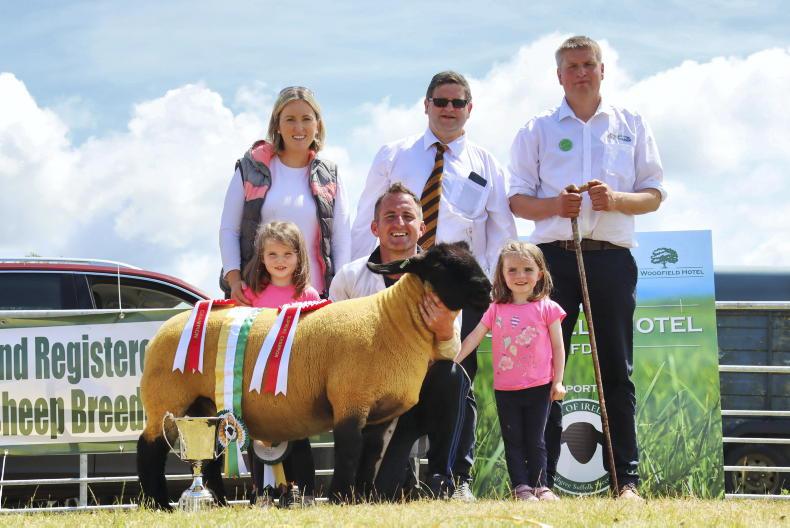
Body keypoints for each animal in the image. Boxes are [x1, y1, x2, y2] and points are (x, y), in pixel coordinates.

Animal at [137, 241, 491, 509]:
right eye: (442, 264)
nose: (487, 290)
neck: (391, 321)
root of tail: (162, 331)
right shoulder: (349, 399)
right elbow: (348, 451)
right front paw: (340, 497)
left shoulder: (380, 414)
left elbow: (371, 456)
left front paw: (363, 496)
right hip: (167, 397)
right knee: (149, 446)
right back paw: (160, 504)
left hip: (207, 406)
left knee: (209, 457)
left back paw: (218, 504)